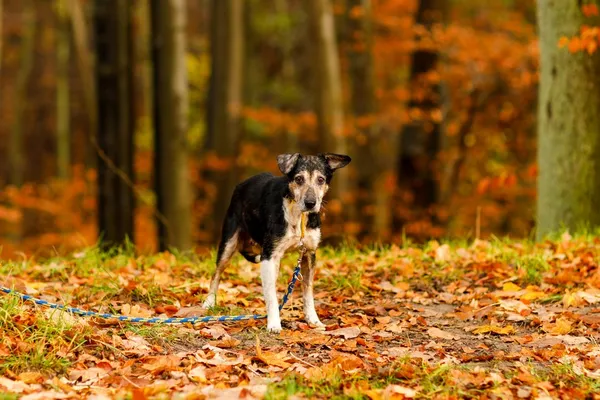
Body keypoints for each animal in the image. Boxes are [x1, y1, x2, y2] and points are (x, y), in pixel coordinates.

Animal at [203, 152, 352, 332]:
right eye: (299, 179)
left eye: (321, 179)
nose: (310, 203)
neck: (298, 216)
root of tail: (241, 184)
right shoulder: (269, 255)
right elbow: (271, 295)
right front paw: (274, 323)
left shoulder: (309, 253)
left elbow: (308, 291)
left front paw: (313, 320)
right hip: (229, 242)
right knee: (216, 274)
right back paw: (209, 303)